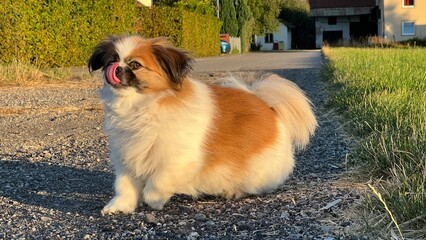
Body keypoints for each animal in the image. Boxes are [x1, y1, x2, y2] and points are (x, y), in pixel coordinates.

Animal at [88, 34, 318, 215]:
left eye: (135, 65)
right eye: (111, 61)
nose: (116, 69)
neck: (142, 107)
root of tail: (267, 107)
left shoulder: (178, 159)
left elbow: (157, 182)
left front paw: (154, 200)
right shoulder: (126, 155)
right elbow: (125, 185)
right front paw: (120, 206)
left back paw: (233, 191)